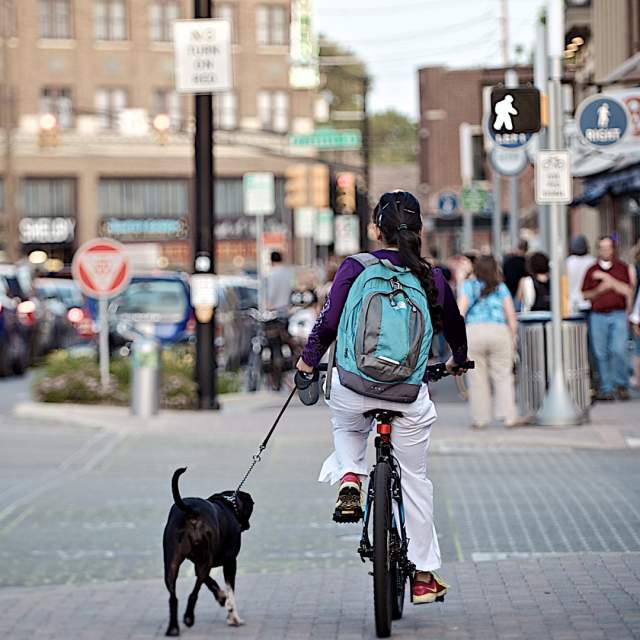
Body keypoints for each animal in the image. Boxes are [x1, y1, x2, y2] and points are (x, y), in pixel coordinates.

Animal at [161, 468, 254, 636]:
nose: (247, 525)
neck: (229, 503)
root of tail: (191, 511)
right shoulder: (230, 562)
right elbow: (231, 592)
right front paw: (234, 618)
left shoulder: (198, 563)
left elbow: (211, 582)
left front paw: (222, 598)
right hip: (204, 561)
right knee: (193, 594)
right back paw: (188, 618)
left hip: (172, 564)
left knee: (173, 597)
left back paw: (173, 628)